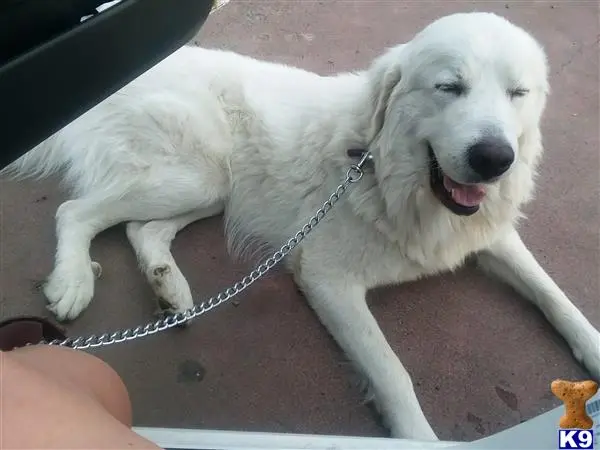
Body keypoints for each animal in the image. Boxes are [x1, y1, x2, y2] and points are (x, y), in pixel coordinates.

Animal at [2, 12, 596, 442]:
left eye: (518, 93)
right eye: (450, 87)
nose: (494, 158)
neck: (387, 175)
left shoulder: (493, 236)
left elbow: (554, 294)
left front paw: (590, 347)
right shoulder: (328, 280)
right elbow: (393, 371)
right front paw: (417, 434)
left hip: (214, 188)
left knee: (141, 230)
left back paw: (171, 291)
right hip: (196, 176)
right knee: (75, 212)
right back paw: (74, 280)